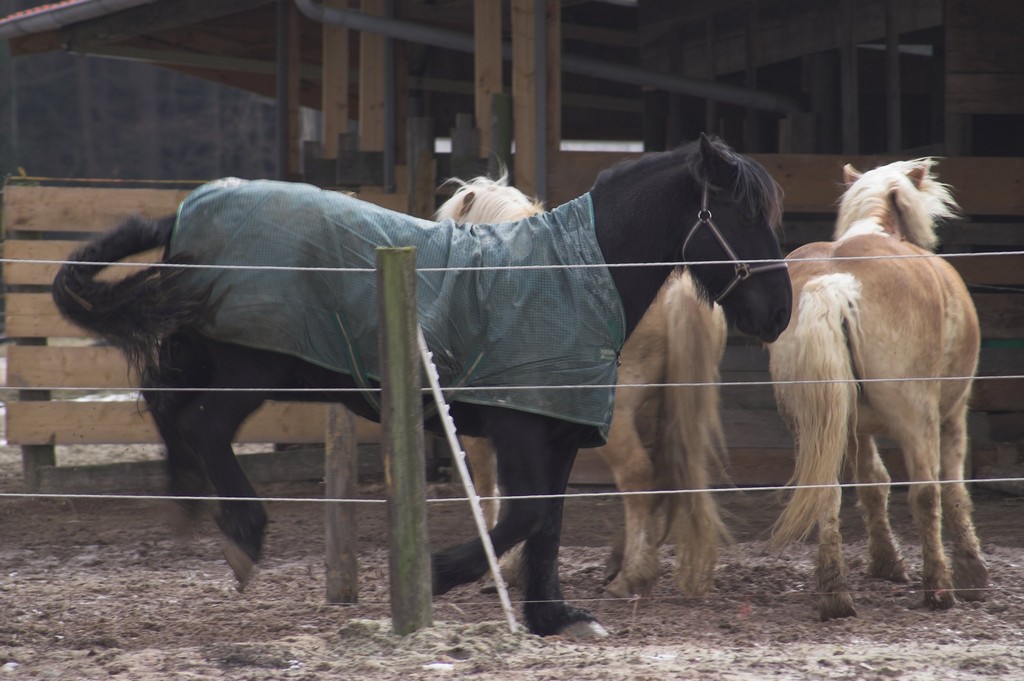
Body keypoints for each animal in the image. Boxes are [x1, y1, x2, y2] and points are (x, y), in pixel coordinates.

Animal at [767, 158, 989, 620]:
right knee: (926, 492)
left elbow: (872, 484)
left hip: (816, 425)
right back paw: (939, 588)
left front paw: (886, 562)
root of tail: (835, 282)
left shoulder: (854, 428)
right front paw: (972, 572)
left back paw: (835, 592)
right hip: (917, 418)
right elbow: (954, 489)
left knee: (826, 493)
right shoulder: (954, 414)